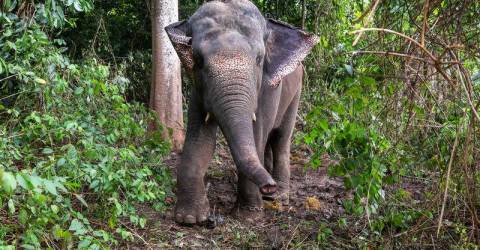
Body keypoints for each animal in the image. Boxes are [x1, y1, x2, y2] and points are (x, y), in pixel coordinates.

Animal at [165, 0, 318, 224]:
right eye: (198, 59)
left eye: (259, 59)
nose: (268, 185)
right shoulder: (198, 88)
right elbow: (200, 138)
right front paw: (189, 219)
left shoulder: (269, 88)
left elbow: (256, 133)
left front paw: (248, 216)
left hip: (296, 93)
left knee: (280, 138)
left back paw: (279, 196)